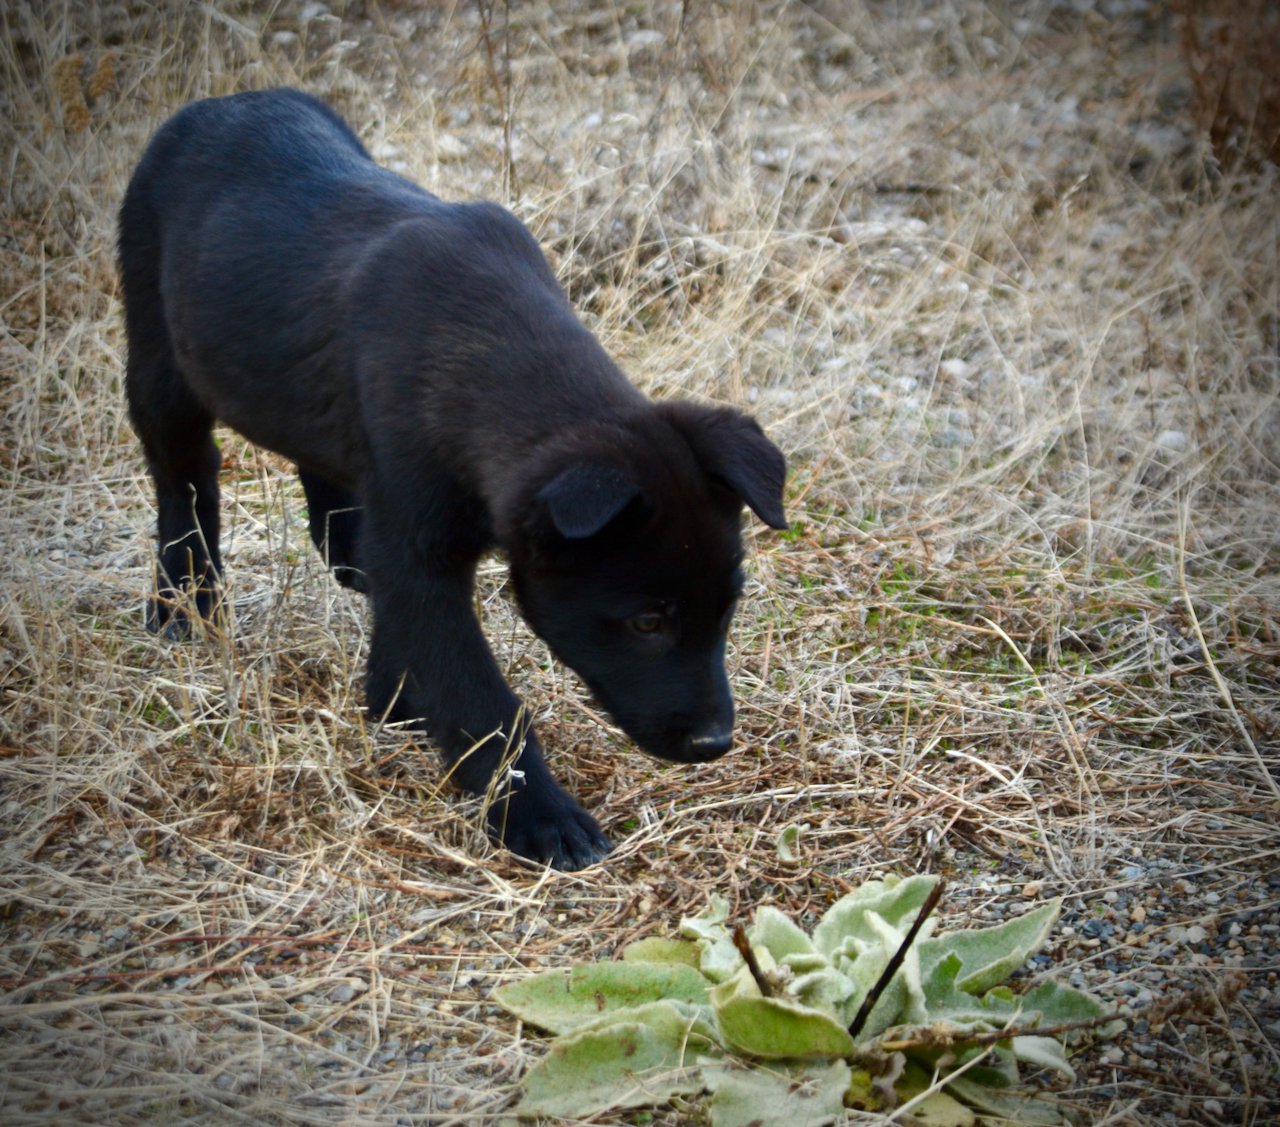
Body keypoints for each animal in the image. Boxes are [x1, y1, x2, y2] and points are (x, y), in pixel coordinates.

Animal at [120, 88, 783, 865]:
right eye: (647, 620)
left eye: (728, 609)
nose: (715, 743)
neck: (487, 352)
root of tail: (220, 104)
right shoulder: (420, 551)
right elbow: (480, 698)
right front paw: (538, 816)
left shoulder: (408, 547)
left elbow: (407, 631)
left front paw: (394, 704)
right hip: (159, 363)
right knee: (185, 483)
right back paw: (183, 602)